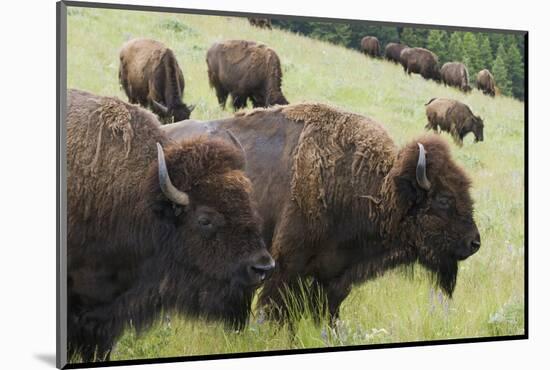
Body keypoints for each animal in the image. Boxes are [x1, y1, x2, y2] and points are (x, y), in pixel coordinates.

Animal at [165, 102, 484, 324]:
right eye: (444, 199)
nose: (474, 242)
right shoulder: (286, 267)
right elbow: (277, 310)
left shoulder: (334, 278)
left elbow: (326, 312)